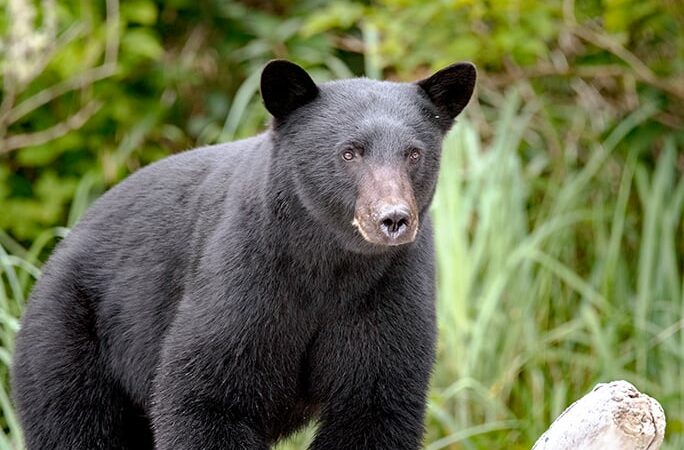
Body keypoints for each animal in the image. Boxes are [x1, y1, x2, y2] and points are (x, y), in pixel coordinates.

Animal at [10, 60, 476, 450]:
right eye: (349, 152)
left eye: (413, 153)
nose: (393, 218)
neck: (329, 263)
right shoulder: (246, 272)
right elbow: (206, 393)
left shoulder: (389, 288)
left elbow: (374, 404)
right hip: (68, 336)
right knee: (75, 423)